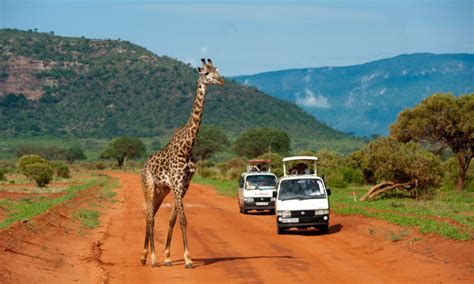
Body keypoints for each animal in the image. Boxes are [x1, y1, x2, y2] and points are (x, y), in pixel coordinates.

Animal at [139, 58, 224, 268]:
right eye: (206, 73)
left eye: (217, 70)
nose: (222, 81)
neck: (188, 146)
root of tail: (143, 167)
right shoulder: (177, 184)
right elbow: (183, 220)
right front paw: (188, 259)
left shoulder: (184, 185)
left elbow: (173, 219)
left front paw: (169, 256)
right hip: (148, 186)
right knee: (150, 217)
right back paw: (152, 259)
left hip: (161, 191)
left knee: (150, 215)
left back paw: (144, 256)